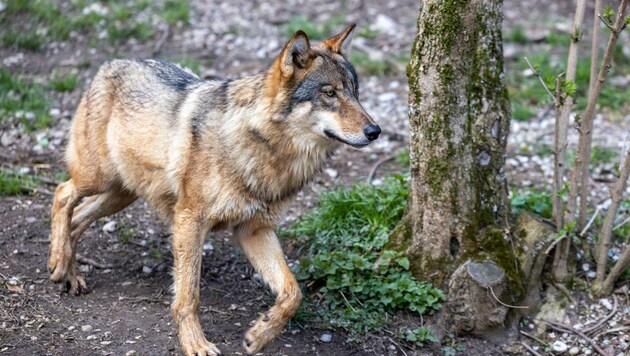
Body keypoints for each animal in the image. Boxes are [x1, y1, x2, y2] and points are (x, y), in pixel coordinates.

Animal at [48, 23, 380, 354]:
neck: (265, 149)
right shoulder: (189, 220)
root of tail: (110, 63)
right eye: (330, 93)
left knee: (77, 218)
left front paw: (259, 335)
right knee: (62, 194)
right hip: (98, 178)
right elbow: (188, 296)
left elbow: (292, 292)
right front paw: (196, 344)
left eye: (355, 92)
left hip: (120, 194)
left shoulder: (254, 230)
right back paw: (57, 264)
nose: (375, 131)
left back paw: (69, 275)